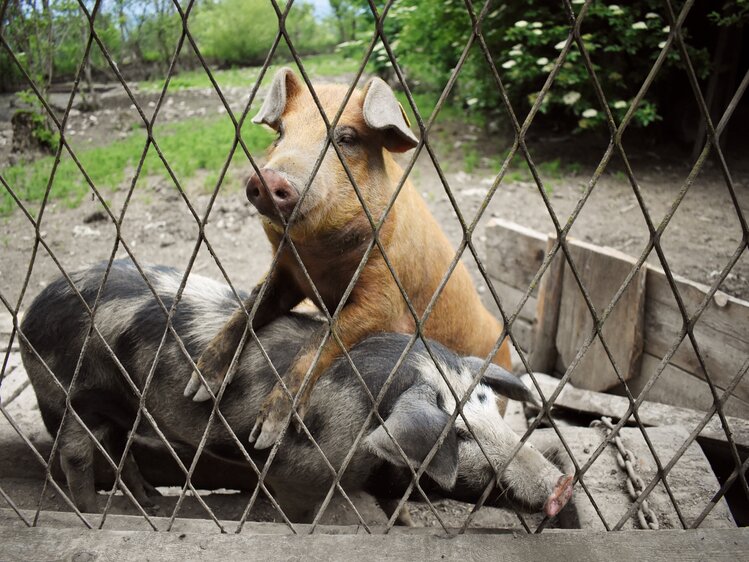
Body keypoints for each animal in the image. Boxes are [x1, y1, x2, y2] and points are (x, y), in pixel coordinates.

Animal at [21, 260, 572, 520]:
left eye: (493, 411)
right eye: (457, 435)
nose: (561, 485)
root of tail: (33, 310)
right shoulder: (298, 469)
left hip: (122, 405)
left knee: (120, 448)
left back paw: (153, 503)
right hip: (67, 392)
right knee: (76, 453)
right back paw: (94, 511)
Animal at [187, 69, 516, 446]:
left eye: (345, 138)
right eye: (281, 133)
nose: (268, 177)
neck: (318, 262)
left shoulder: (385, 297)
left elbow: (322, 337)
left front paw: (265, 435)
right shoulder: (286, 274)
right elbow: (248, 309)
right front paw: (196, 389)